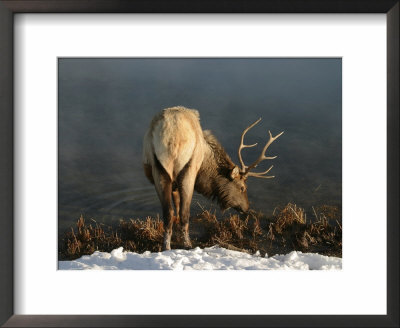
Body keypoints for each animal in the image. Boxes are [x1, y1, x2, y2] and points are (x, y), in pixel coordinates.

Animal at [142, 106, 282, 250]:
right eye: (242, 187)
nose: (246, 208)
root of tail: (172, 138)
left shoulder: (173, 184)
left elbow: (176, 204)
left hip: (159, 168)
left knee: (168, 213)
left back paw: (167, 246)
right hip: (188, 169)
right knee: (184, 213)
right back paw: (187, 244)